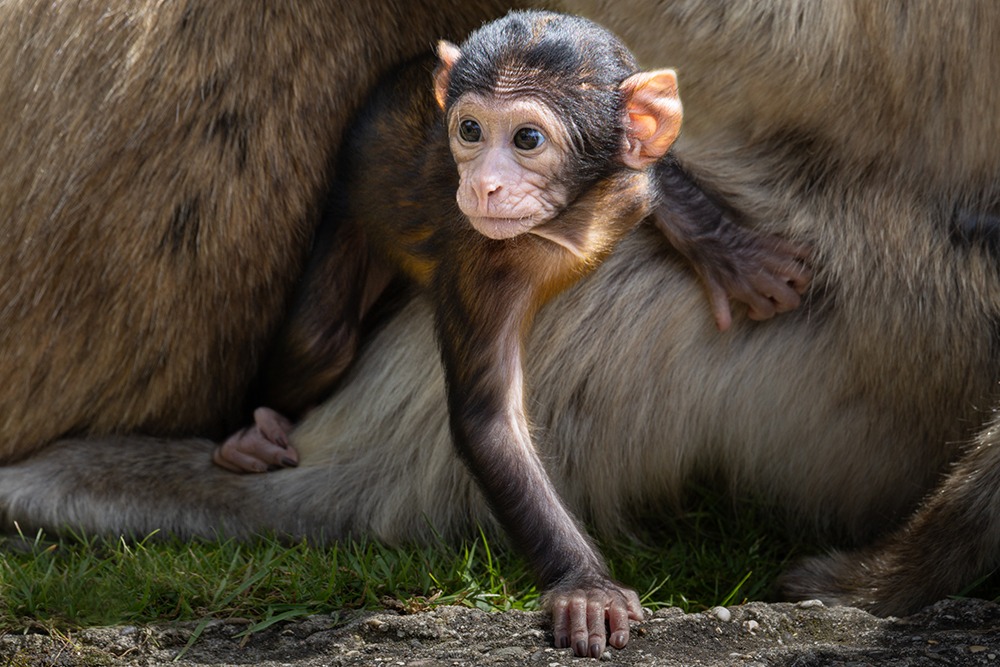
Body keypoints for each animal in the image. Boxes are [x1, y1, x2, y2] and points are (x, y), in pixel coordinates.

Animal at [215, 9, 808, 656]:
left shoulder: (629, 187)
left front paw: (732, 253)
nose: (482, 185)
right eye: (470, 130)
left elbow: (661, 168)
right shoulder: (479, 263)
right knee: (321, 341)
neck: (570, 222)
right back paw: (252, 435)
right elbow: (488, 421)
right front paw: (586, 588)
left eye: (527, 140)